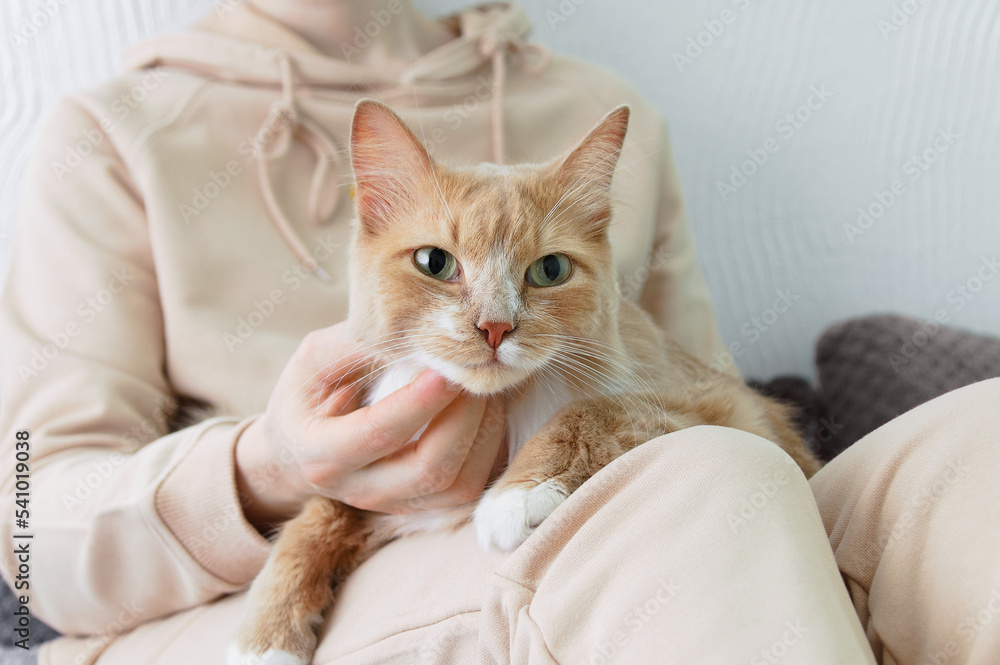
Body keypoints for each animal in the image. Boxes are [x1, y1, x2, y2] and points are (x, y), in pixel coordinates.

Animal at [229, 98, 820, 664]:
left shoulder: (721, 406)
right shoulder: (383, 496)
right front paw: (266, 635)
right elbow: (315, 518)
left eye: (550, 270)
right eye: (434, 262)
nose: (495, 328)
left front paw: (518, 496)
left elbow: (592, 412)